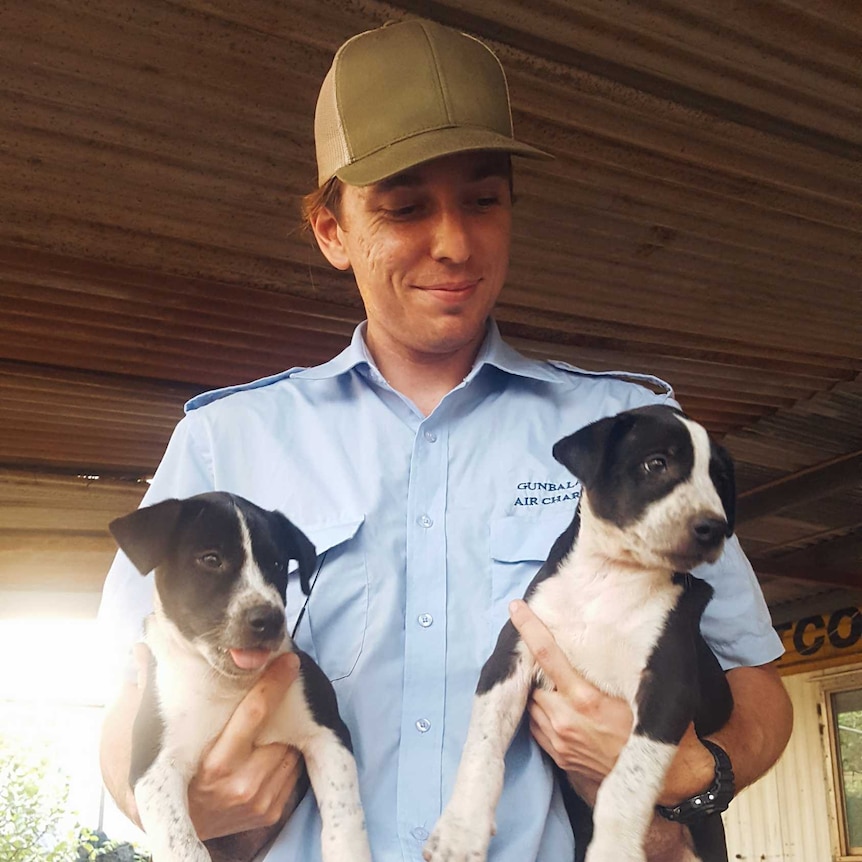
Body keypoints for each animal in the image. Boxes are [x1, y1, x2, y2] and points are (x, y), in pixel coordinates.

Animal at [109, 492, 372, 862]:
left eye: (277, 564)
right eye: (211, 559)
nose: (269, 619)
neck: (228, 685)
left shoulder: (328, 733)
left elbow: (344, 819)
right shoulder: (154, 769)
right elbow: (185, 846)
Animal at [426, 404, 736, 862]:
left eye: (718, 479)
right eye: (656, 463)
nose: (712, 527)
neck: (609, 577)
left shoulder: (669, 687)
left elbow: (627, 781)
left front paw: (613, 850)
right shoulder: (510, 658)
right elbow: (482, 750)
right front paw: (460, 832)